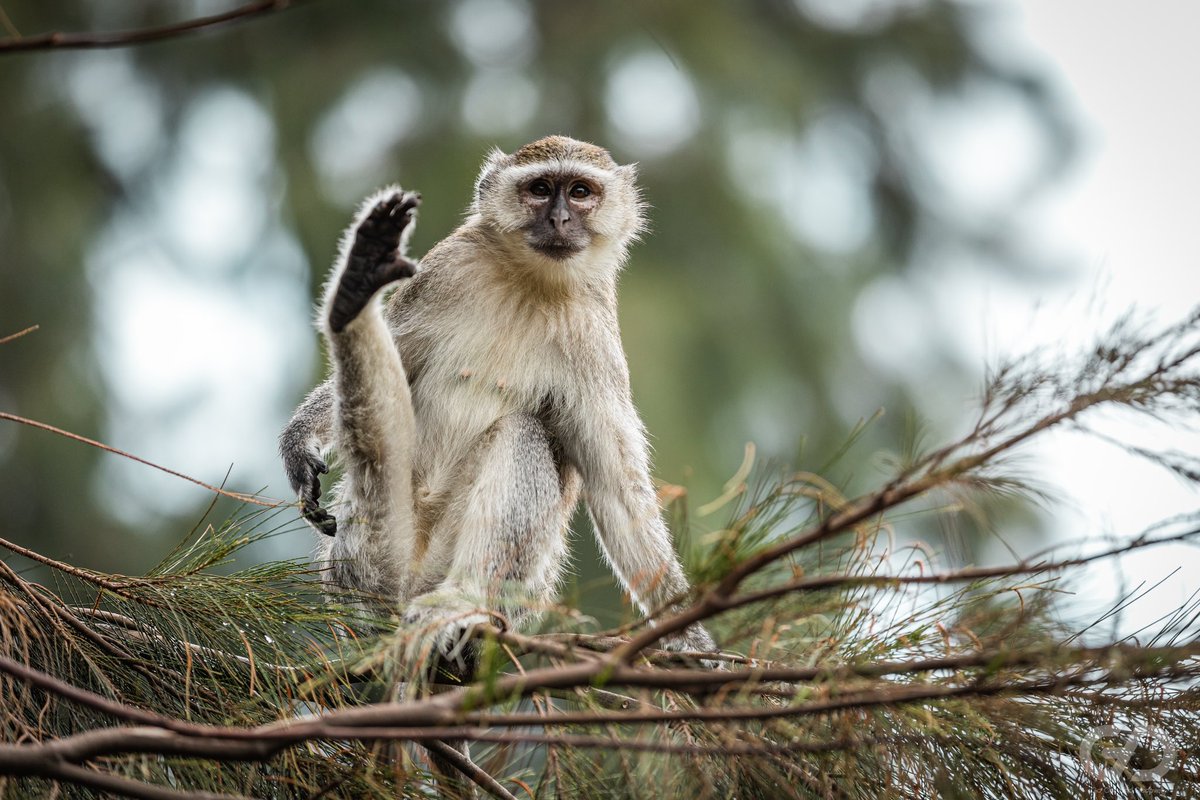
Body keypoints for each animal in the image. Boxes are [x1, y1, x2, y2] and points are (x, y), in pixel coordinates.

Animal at [279, 135, 717, 662]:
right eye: (541, 189)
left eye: (581, 192)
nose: (560, 219)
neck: (532, 281)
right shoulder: (446, 269)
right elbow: (402, 361)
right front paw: (299, 442)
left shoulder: (596, 336)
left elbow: (617, 493)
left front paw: (692, 639)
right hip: (359, 556)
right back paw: (355, 292)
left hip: (509, 592)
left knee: (521, 433)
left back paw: (459, 602)